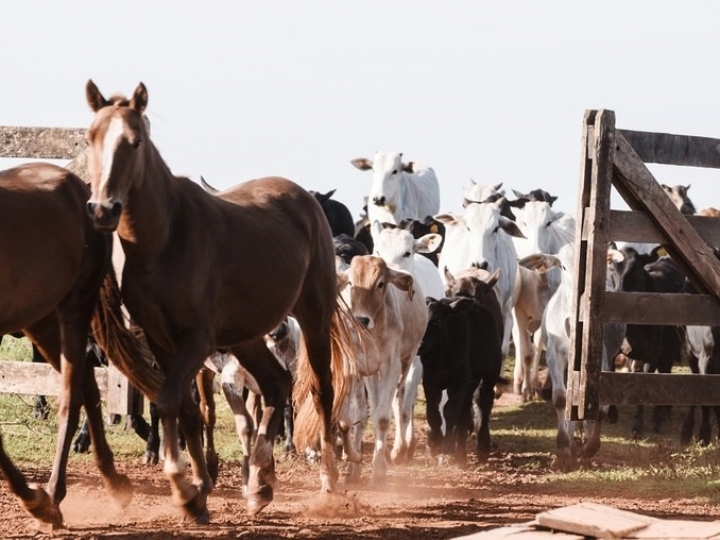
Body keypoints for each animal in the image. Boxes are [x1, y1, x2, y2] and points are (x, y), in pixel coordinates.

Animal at [0, 162, 145, 528]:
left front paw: (35, 501)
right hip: (42, 322)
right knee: (89, 387)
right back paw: (115, 484)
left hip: (73, 309)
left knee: (72, 395)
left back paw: (52, 497)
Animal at [83, 81, 352, 524]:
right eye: (91, 138)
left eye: (135, 141)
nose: (104, 209)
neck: (165, 240)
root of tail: (304, 199)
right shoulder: (161, 341)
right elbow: (189, 410)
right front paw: (201, 488)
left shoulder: (196, 340)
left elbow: (169, 401)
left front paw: (184, 490)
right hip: (247, 336)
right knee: (276, 385)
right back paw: (259, 484)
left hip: (313, 317)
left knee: (320, 392)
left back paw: (328, 484)